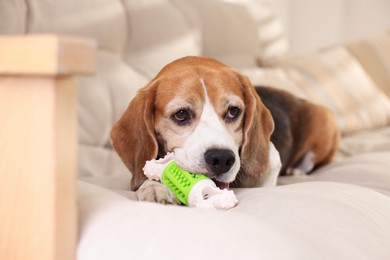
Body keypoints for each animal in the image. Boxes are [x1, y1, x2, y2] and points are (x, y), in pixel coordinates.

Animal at [109, 56, 338, 203]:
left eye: (233, 111)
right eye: (181, 114)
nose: (221, 159)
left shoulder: (271, 160)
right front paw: (153, 188)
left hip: (325, 119)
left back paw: (297, 171)